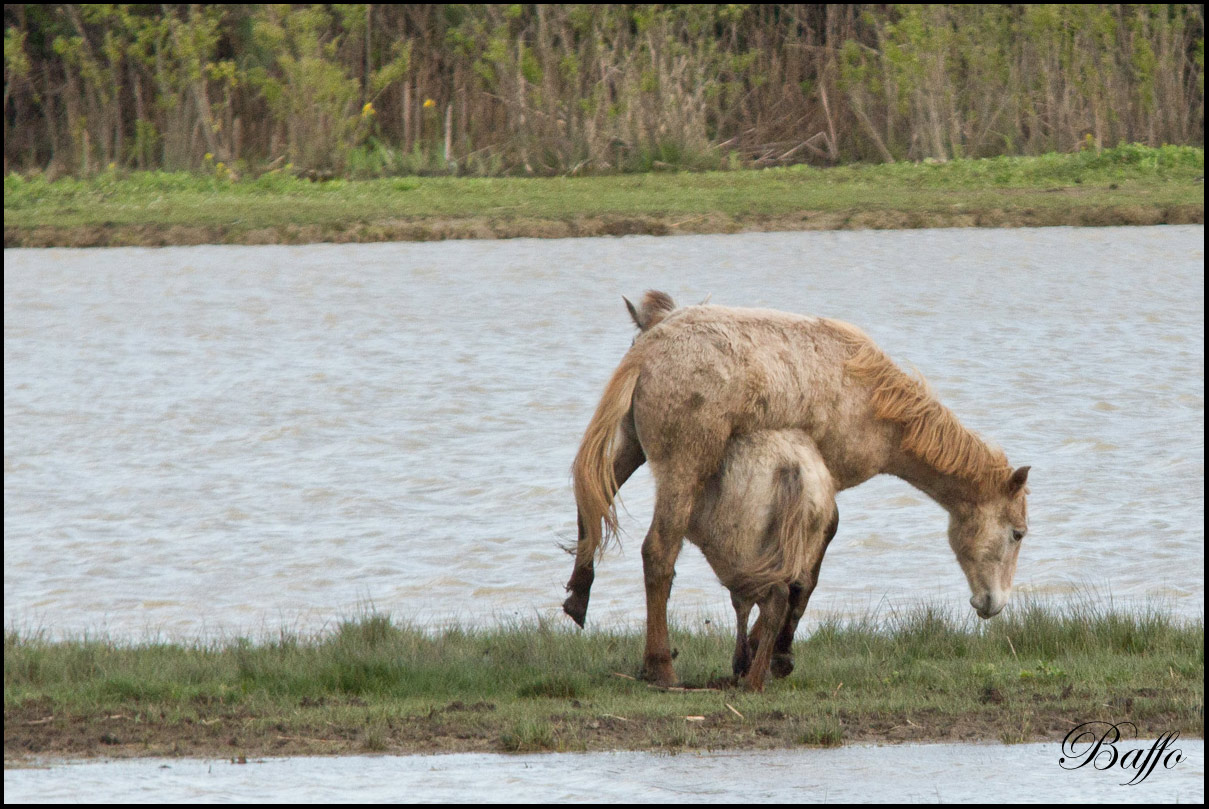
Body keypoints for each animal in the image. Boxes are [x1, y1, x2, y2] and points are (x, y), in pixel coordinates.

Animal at [563, 286, 1030, 686]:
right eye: (1017, 533)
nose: (993, 604)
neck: (872, 400)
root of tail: (648, 349)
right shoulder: (829, 483)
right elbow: (808, 572)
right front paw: (776, 654)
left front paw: (759, 651)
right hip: (683, 468)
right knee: (658, 553)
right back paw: (660, 667)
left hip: (632, 447)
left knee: (592, 503)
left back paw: (577, 600)